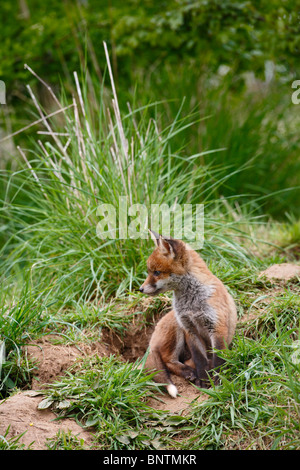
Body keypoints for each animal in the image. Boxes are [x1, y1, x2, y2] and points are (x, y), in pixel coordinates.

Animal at [140, 230, 237, 396]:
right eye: (149, 272)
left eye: (157, 272)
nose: (140, 289)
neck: (191, 304)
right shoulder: (188, 327)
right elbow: (200, 360)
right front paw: (204, 381)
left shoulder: (217, 327)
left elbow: (218, 360)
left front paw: (218, 382)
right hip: (176, 327)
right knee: (168, 360)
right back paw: (189, 373)